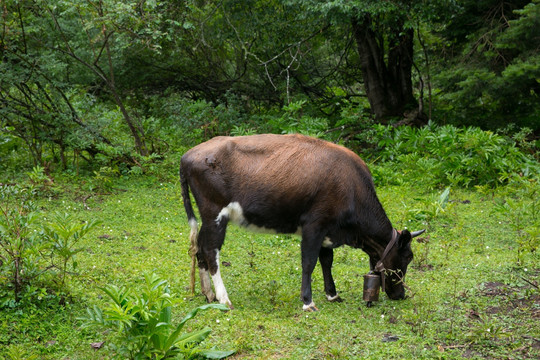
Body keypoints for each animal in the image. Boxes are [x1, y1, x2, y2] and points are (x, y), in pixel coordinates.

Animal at [179, 134, 424, 310]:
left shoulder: (328, 229)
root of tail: (189, 154)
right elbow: (309, 262)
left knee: (199, 248)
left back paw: (208, 293)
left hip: (206, 219)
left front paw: (332, 294)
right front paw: (308, 301)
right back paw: (223, 298)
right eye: (408, 257)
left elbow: (327, 261)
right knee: (211, 251)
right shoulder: (314, 225)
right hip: (215, 214)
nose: (400, 295)